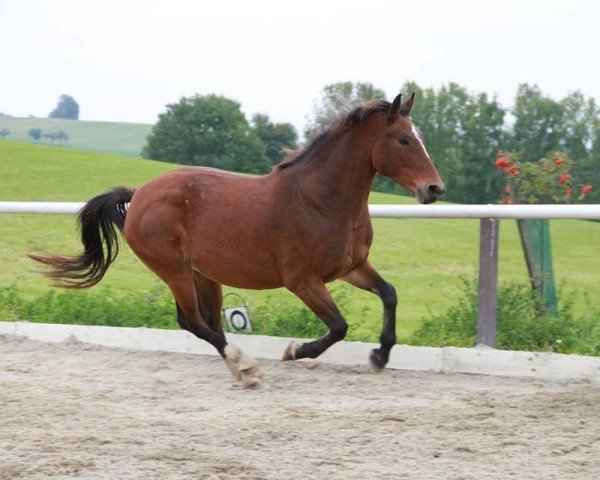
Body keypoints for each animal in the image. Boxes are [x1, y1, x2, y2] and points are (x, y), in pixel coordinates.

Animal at [28, 93, 442, 386]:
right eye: (403, 140)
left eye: (420, 138)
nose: (435, 189)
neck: (321, 199)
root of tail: (140, 193)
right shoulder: (303, 281)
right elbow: (339, 327)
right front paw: (296, 350)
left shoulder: (351, 267)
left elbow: (389, 294)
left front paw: (380, 355)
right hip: (174, 270)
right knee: (192, 321)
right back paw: (245, 366)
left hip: (203, 274)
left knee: (208, 322)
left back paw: (238, 364)